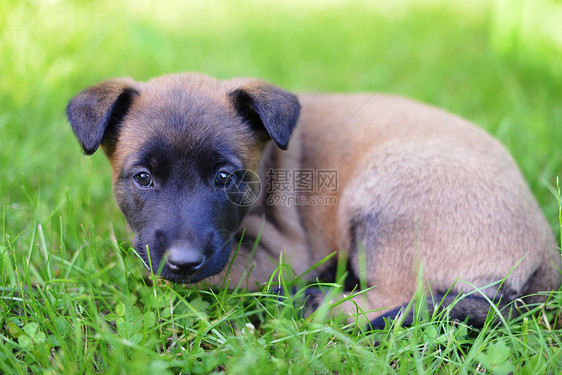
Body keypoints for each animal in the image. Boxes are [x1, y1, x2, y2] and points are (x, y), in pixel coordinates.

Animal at [66, 73, 560, 328]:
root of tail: (546, 255)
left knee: (399, 297)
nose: (184, 261)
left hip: (383, 190)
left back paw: (318, 303)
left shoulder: (281, 254)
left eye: (225, 177)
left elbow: (187, 275)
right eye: (143, 178)